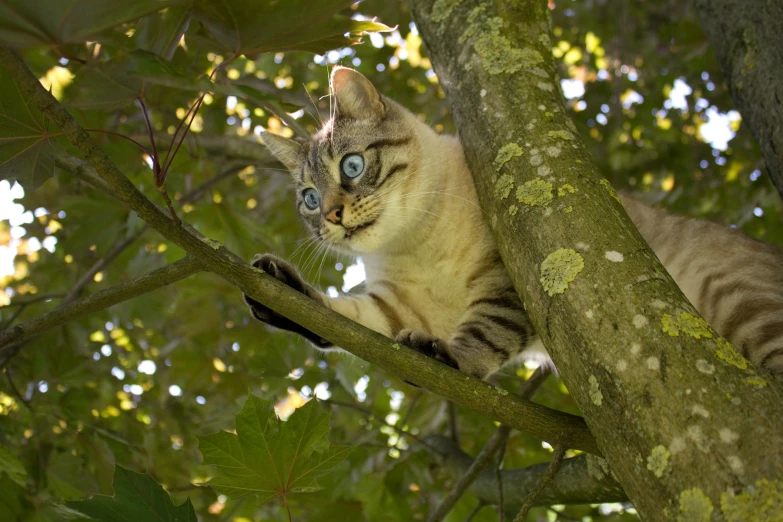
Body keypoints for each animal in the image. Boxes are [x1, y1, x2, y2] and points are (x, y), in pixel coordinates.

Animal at [245, 66, 783, 374]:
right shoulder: (403, 308)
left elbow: (482, 336)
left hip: (742, 304)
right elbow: (342, 317)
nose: (332, 215)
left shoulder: (511, 278)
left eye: (352, 167)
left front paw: (449, 357)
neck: (414, 242)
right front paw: (282, 291)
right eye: (309, 198)